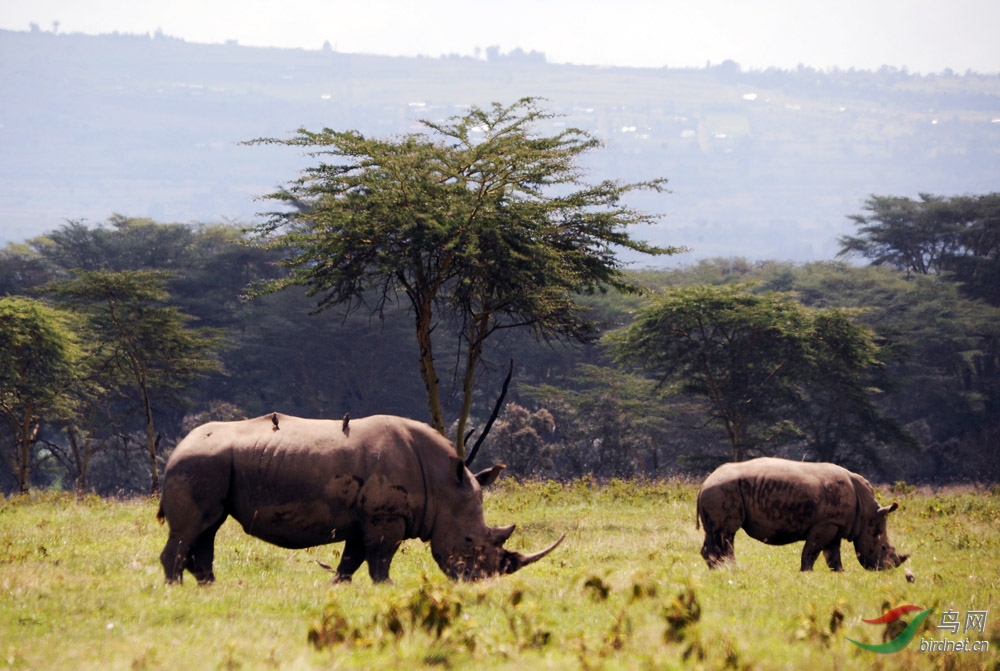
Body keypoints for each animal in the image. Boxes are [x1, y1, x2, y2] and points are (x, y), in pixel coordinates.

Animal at [157, 412, 564, 584]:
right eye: (469, 542)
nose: (481, 581)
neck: (444, 484)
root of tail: (176, 448)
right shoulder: (385, 517)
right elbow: (380, 559)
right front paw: (387, 589)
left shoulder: (365, 517)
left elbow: (351, 560)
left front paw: (339, 588)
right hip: (200, 463)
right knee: (193, 528)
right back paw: (177, 590)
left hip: (210, 464)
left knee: (208, 528)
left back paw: (208, 587)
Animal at [696, 456, 908, 572]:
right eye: (882, 547)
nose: (887, 569)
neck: (867, 513)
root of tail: (705, 483)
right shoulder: (826, 524)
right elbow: (812, 551)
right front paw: (807, 573)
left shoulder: (835, 524)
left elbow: (832, 555)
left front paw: (841, 573)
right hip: (723, 490)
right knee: (727, 533)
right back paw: (732, 570)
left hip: (717, 491)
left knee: (714, 534)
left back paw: (717, 570)